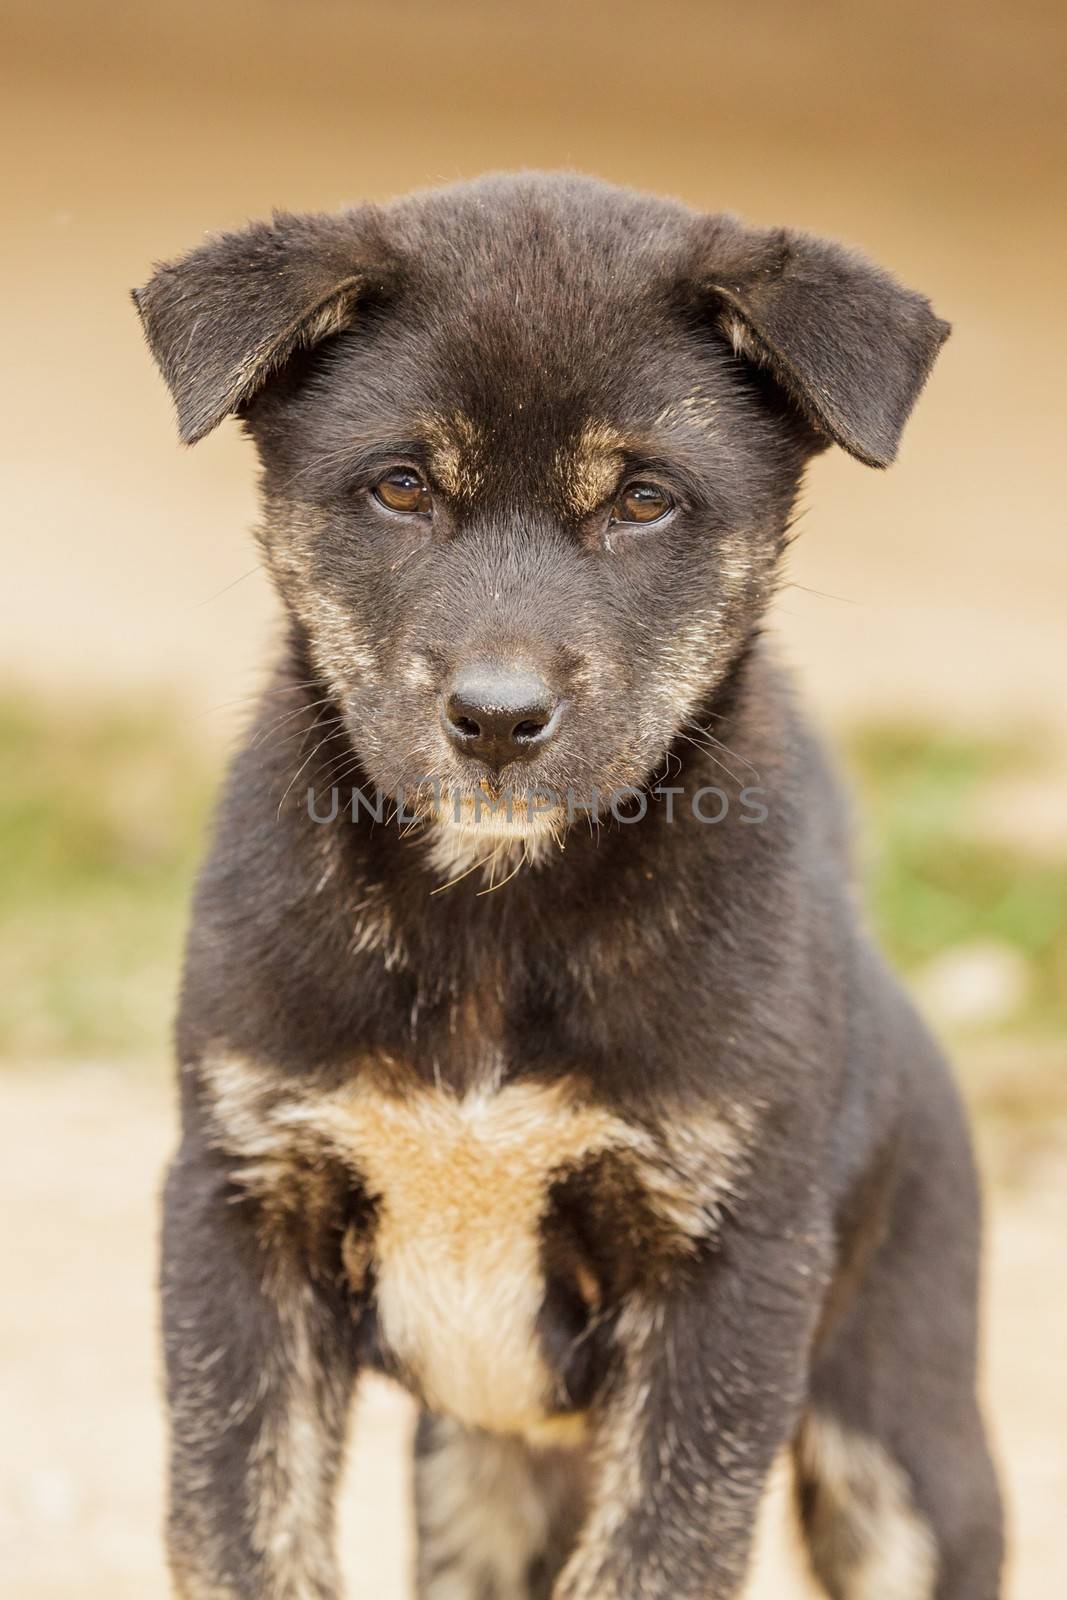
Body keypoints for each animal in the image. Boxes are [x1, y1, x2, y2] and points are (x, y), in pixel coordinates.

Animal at [133, 168, 1004, 1593]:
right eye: (399, 487)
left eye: (643, 501)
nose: (496, 719)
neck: (492, 910)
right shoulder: (239, 1208)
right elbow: (241, 1530)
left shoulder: (727, 1280)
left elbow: (655, 1554)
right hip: (478, 1469)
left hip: (900, 1442)